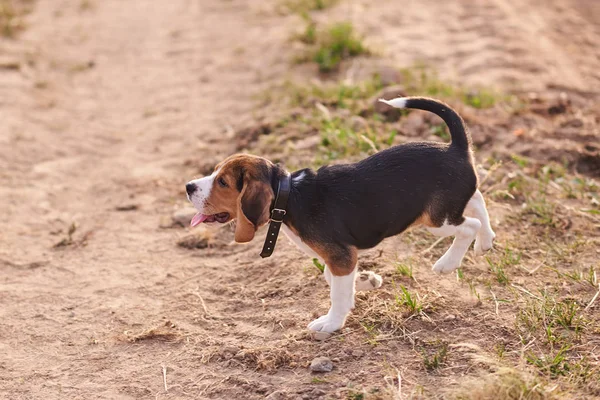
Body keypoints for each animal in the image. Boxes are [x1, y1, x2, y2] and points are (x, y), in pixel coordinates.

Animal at [185, 97, 494, 334]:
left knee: (469, 224)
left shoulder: (341, 256)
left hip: (436, 221)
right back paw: (486, 241)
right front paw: (368, 281)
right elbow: (330, 277)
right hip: (449, 208)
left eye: (223, 182)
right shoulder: (340, 257)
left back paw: (448, 262)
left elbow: (336, 291)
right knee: (477, 200)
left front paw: (331, 322)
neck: (289, 195)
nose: (188, 187)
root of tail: (455, 147)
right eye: (215, 172)